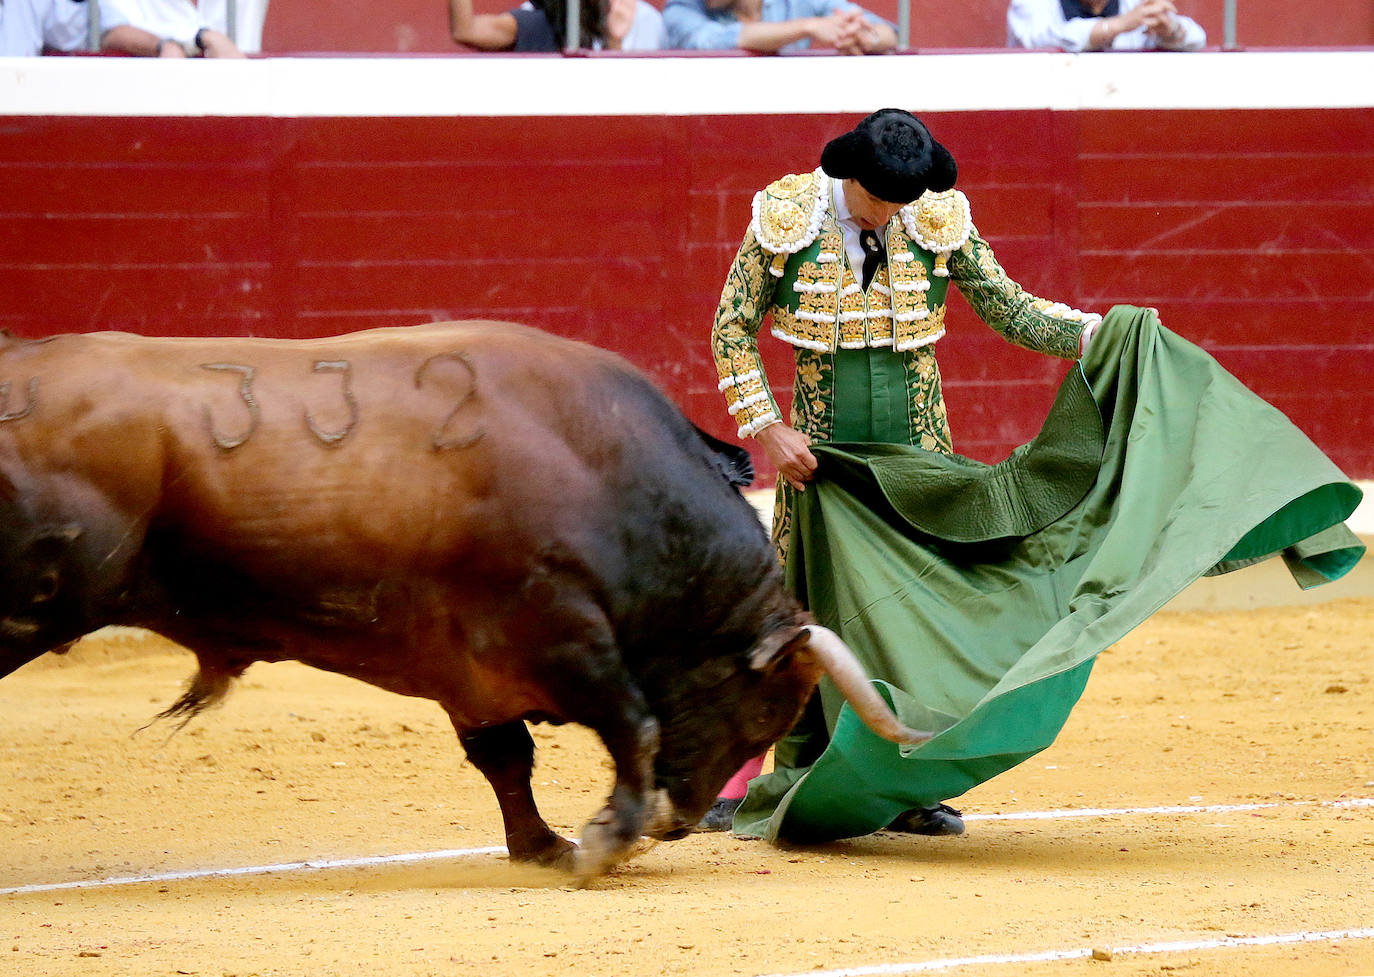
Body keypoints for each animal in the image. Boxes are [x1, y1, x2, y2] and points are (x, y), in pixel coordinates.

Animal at [0, 324, 928, 884]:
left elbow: (505, 757)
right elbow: (632, 723)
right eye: (764, 709)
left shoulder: (472, 666)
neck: (606, 471)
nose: (680, 821)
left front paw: (544, 845)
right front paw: (603, 840)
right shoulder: (561, 629)